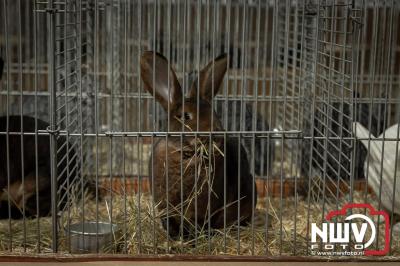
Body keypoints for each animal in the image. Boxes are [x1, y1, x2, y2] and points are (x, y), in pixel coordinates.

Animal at [141, 51, 256, 238]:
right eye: (185, 116)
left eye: (214, 113)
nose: (214, 133)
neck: (186, 154)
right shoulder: (165, 204)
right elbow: (169, 221)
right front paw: (174, 237)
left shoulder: (201, 207)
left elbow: (195, 223)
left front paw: (191, 238)